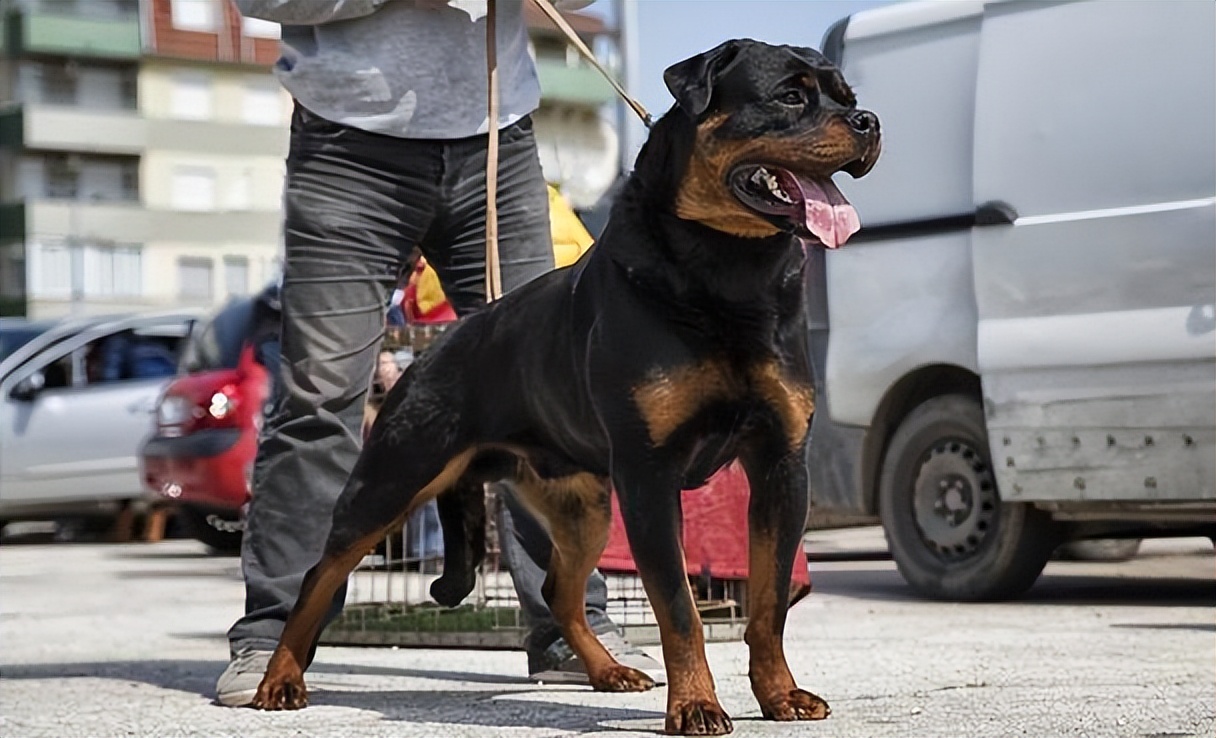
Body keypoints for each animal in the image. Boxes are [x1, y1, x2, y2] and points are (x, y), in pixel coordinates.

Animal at [251, 41, 880, 738]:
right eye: (791, 97)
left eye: (846, 98)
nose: (869, 122)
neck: (730, 270)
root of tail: (431, 348)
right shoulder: (649, 474)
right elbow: (679, 609)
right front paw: (695, 706)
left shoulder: (780, 465)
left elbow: (769, 606)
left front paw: (779, 694)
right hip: (393, 476)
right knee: (319, 573)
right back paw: (278, 678)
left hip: (583, 505)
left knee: (560, 590)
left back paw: (607, 670)